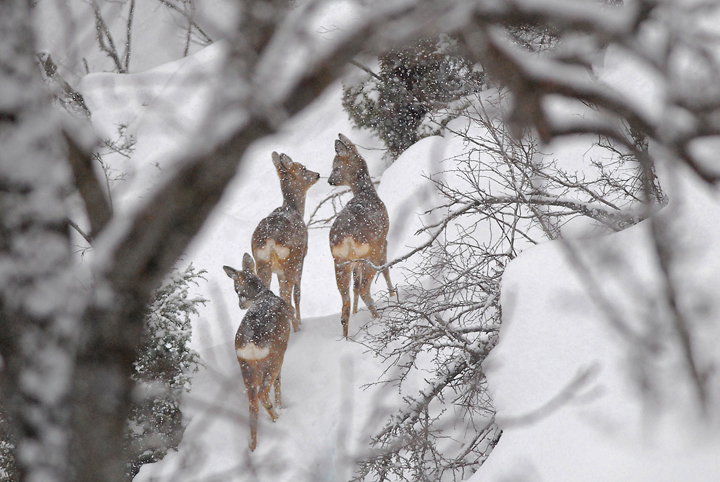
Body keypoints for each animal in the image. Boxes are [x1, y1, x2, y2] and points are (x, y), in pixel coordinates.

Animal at [222, 254, 296, 454]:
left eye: (235, 289)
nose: (240, 305)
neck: (264, 295)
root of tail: (251, 344)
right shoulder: (282, 350)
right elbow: (278, 381)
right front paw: (280, 405)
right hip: (273, 357)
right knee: (263, 393)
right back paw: (277, 417)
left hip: (244, 365)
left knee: (252, 403)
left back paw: (253, 446)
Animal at [253, 152, 320, 332]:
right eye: (303, 168)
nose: (317, 174)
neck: (294, 209)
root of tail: (270, 241)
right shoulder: (302, 257)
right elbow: (297, 294)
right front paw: (300, 322)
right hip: (290, 261)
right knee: (286, 296)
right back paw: (296, 328)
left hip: (262, 263)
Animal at [330, 133, 396, 338]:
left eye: (335, 166)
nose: (329, 180)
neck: (368, 193)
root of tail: (347, 237)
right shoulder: (383, 241)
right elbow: (386, 269)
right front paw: (393, 295)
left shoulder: (354, 263)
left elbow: (355, 286)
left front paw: (356, 312)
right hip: (369, 252)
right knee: (365, 288)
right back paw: (378, 318)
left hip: (340, 262)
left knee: (346, 299)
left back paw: (346, 336)